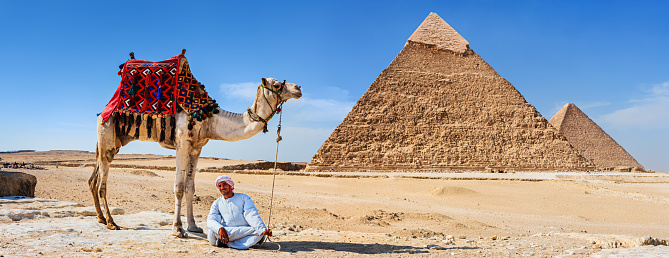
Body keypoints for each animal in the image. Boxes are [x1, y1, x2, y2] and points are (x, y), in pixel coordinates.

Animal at [89, 49, 302, 237]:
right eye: (277, 85)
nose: (298, 88)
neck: (209, 117)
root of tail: (102, 112)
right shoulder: (182, 143)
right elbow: (179, 187)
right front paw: (177, 230)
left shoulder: (197, 147)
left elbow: (190, 188)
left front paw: (193, 227)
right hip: (107, 133)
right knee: (102, 183)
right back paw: (111, 223)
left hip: (113, 142)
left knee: (94, 178)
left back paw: (100, 218)